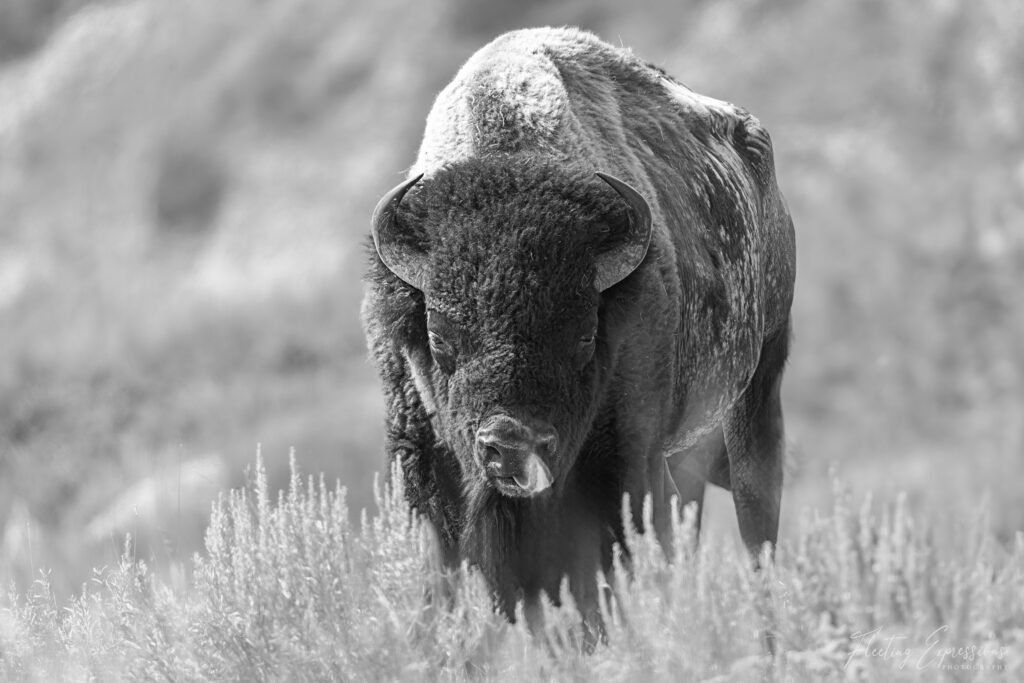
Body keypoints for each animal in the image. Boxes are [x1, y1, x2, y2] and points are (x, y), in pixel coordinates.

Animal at [364, 25, 794, 634]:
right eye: (439, 338)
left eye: (585, 336)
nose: (512, 446)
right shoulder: (430, 483)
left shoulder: (626, 471)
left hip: (756, 393)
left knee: (757, 524)